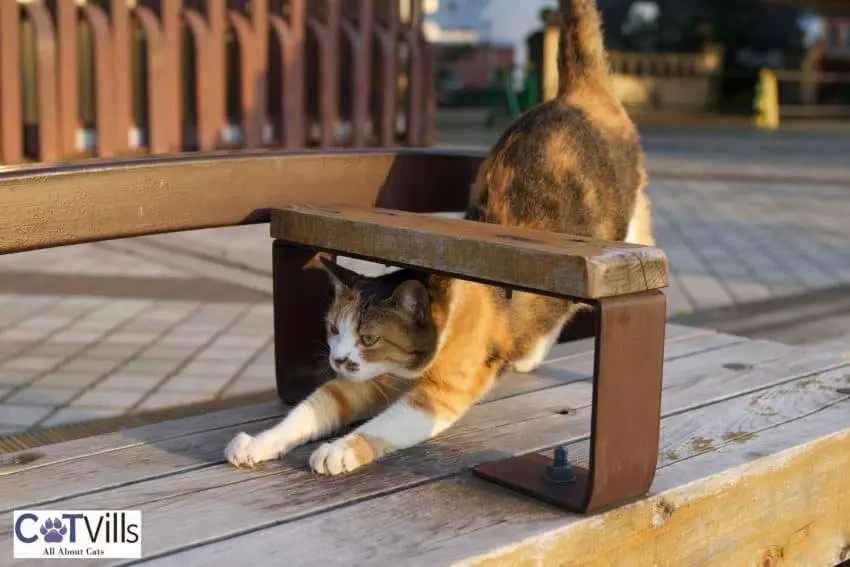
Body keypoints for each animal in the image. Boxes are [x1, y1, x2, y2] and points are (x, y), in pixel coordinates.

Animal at [224, 0, 648, 474]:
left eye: (369, 338)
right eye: (333, 328)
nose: (337, 358)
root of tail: (577, 93)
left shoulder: (438, 394)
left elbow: (384, 426)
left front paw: (340, 449)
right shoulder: (358, 381)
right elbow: (311, 408)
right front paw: (259, 442)